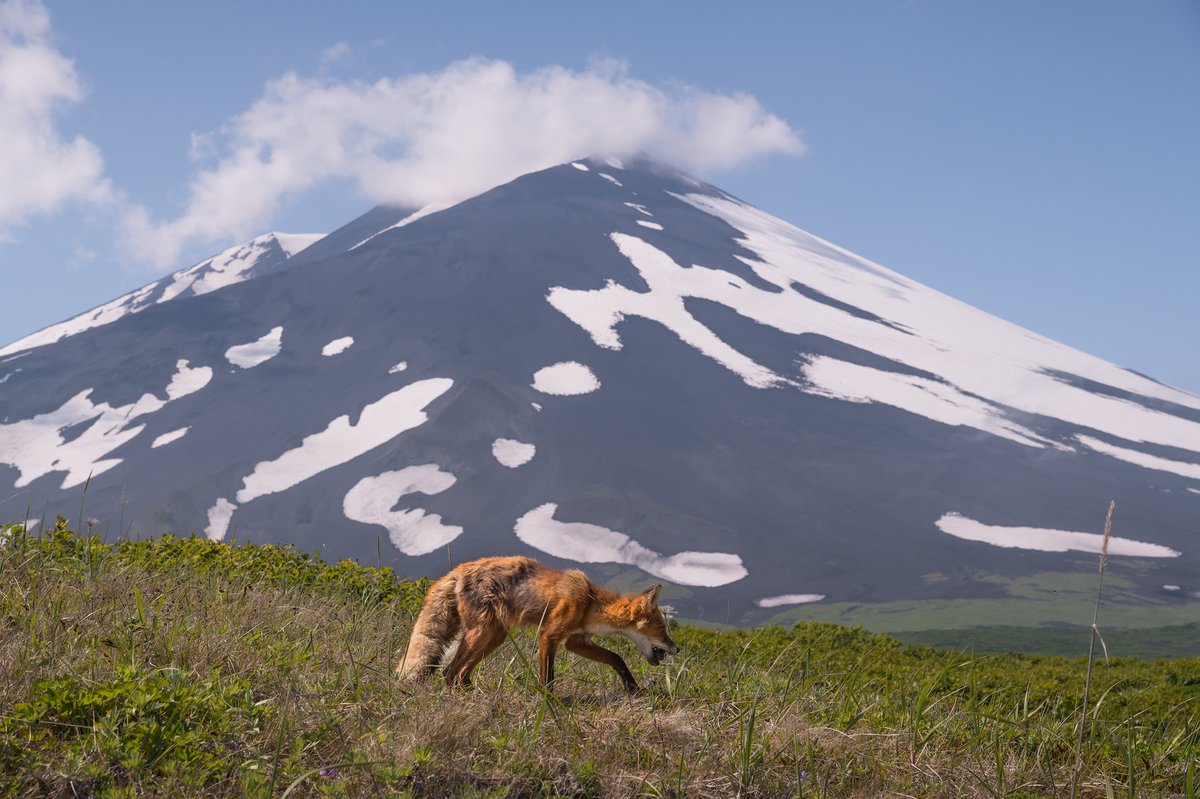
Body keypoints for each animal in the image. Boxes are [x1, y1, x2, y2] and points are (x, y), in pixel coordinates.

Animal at [398, 554, 681, 691]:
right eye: (661, 628)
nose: (677, 649)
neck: (589, 603)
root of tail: (456, 571)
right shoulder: (549, 634)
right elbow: (548, 677)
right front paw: (551, 703)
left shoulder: (576, 641)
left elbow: (616, 658)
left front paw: (633, 688)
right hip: (479, 633)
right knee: (449, 672)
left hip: (494, 636)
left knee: (461, 673)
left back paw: (472, 694)